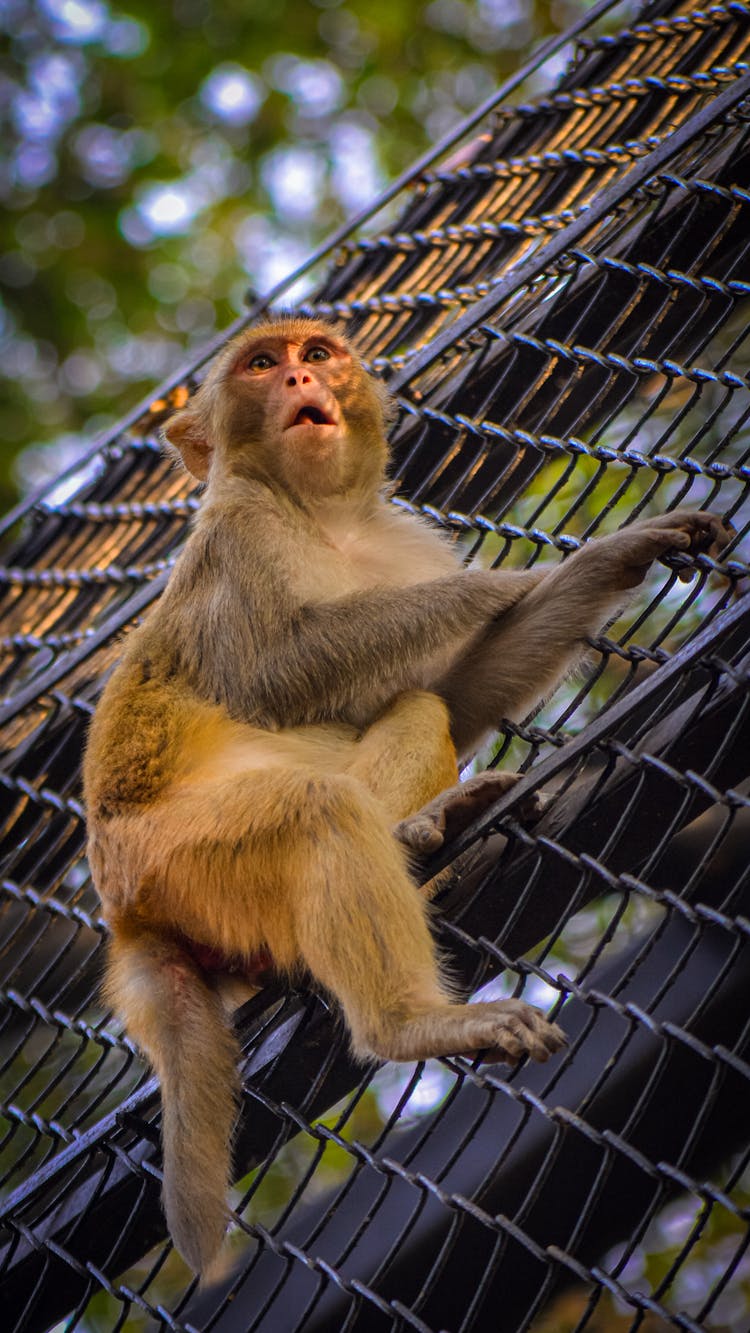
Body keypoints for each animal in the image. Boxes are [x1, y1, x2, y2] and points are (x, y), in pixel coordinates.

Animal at [83, 314, 735, 1279]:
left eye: (315, 355)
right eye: (260, 364)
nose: (297, 381)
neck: (324, 517)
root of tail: (126, 912)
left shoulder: (400, 540)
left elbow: (451, 697)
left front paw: (612, 557)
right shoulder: (237, 535)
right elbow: (273, 670)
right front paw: (501, 582)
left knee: (415, 709)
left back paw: (428, 828)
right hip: (177, 859)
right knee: (315, 806)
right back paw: (409, 1011)